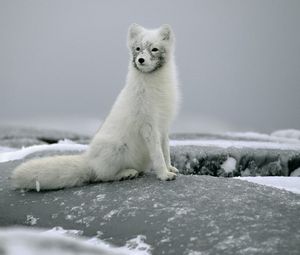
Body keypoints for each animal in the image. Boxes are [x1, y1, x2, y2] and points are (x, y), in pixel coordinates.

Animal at [11, 23, 180, 190]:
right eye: (138, 48)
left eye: (154, 49)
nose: (141, 60)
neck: (156, 86)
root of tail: (88, 160)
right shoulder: (148, 126)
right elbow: (158, 154)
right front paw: (164, 174)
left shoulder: (163, 126)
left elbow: (165, 151)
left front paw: (170, 168)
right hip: (116, 149)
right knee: (102, 176)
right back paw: (126, 173)